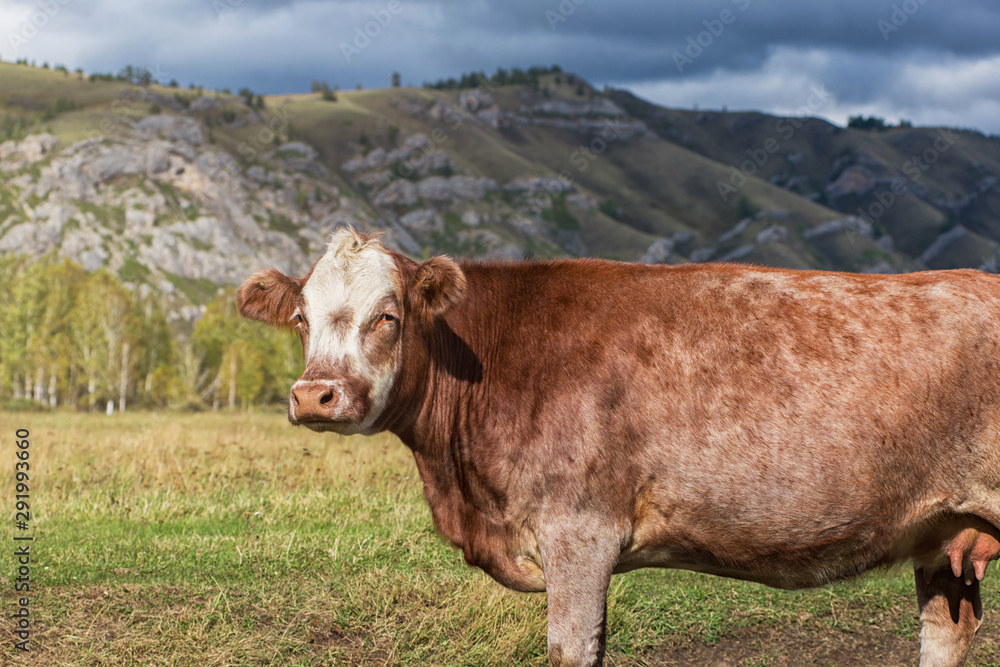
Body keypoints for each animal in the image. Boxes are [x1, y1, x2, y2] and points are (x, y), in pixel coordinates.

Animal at [238, 228, 1000, 667]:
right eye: (301, 317)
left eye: (388, 317)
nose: (315, 395)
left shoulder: (580, 530)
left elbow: (571, 651)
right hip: (946, 534)